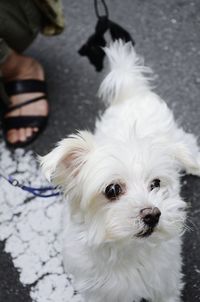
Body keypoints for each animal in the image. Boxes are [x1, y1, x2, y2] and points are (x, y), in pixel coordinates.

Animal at [40, 40, 200, 302]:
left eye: (156, 183)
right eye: (112, 189)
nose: (153, 214)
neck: (126, 250)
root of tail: (131, 92)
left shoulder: (164, 283)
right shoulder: (98, 291)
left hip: (175, 134)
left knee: (187, 142)